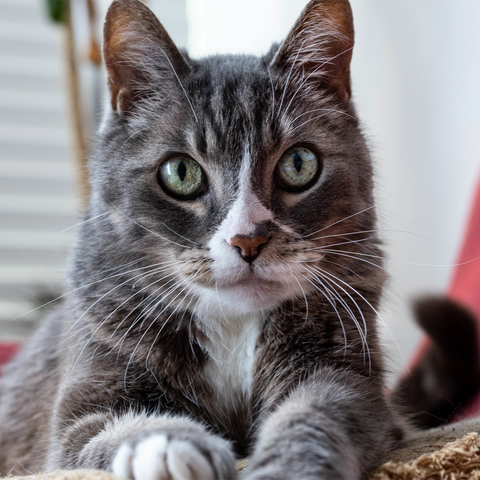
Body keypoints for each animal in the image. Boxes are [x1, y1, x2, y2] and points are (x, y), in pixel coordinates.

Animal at [0, 0, 408, 478]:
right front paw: (172, 446)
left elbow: (319, 410)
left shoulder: (345, 370)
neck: (231, 323)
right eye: (181, 172)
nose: (248, 239)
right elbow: (110, 425)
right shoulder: (83, 402)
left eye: (300, 163)